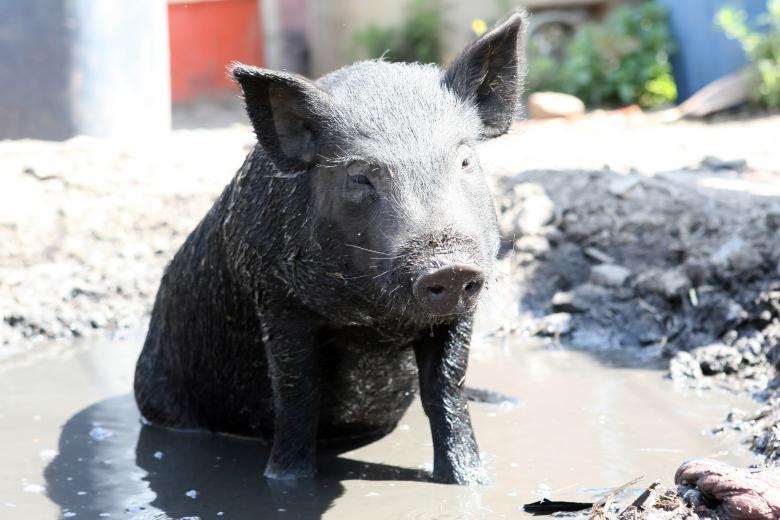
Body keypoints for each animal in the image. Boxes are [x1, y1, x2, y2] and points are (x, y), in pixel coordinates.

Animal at [134, 12, 526, 485]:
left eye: (465, 161)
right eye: (359, 175)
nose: (448, 269)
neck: (374, 323)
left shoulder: (460, 313)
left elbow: (448, 389)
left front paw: (471, 482)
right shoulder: (276, 299)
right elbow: (297, 393)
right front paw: (285, 482)